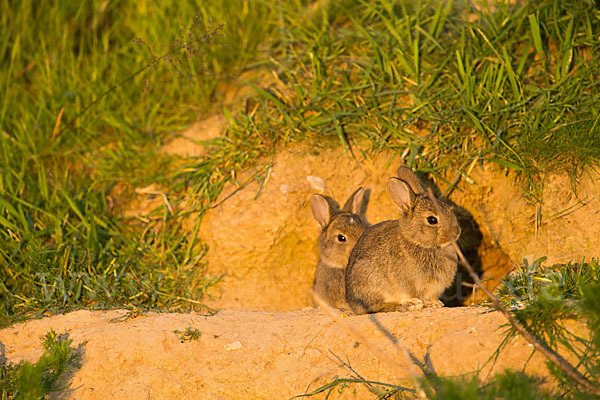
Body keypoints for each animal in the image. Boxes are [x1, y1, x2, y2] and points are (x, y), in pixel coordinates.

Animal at [344, 167, 462, 314]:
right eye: (432, 220)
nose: (457, 232)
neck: (417, 241)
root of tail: (353, 305)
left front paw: (435, 303)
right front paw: (424, 303)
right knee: (377, 307)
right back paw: (410, 304)